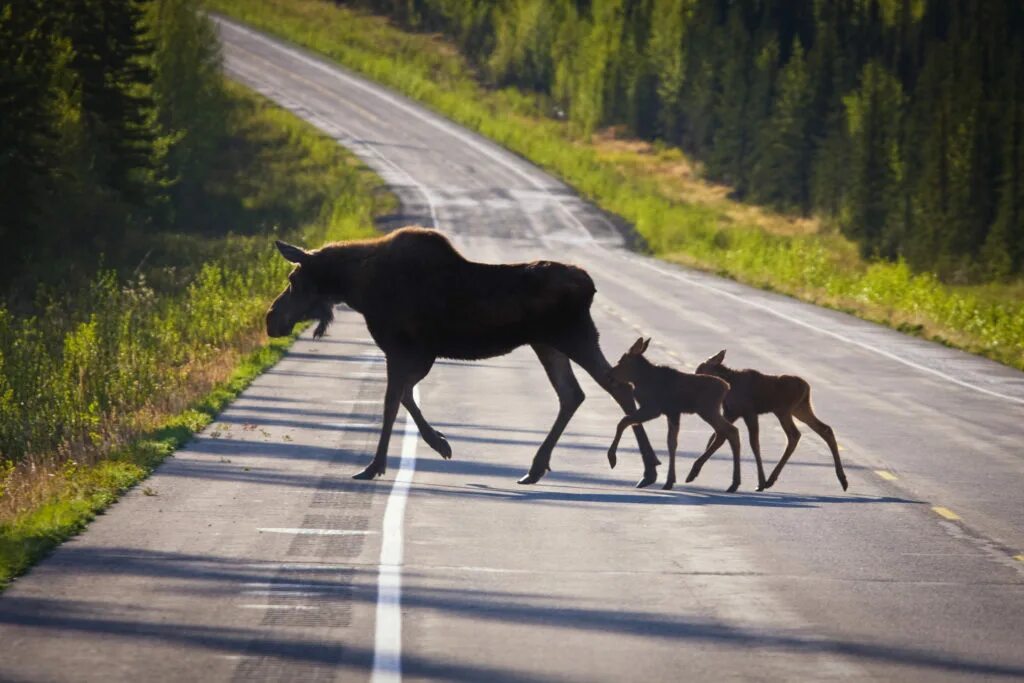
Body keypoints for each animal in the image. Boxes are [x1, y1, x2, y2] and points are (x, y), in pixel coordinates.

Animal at [266, 228, 663, 485]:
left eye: (294, 279)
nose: (271, 319)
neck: (357, 289)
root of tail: (591, 286)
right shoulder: (414, 353)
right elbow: (403, 397)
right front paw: (439, 443)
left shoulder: (407, 349)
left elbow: (393, 401)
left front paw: (377, 464)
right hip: (549, 344)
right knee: (574, 394)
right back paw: (538, 468)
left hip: (573, 337)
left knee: (615, 388)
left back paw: (648, 469)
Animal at [602, 337, 741, 491]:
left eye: (621, 361)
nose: (608, 375)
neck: (640, 379)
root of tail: (727, 386)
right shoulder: (672, 413)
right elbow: (671, 443)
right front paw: (669, 481)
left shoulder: (653, 408)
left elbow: (624, 421)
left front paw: (612, 458)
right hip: (710, 410)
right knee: (724, 433)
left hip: (707, 409)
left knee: (731, 431)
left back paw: (732, 482)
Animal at [692, 352, 851, 491]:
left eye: (700, 369)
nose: (694, 379)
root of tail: (807, 387)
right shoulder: (731, 412)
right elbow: (716, 436)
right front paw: (697, 469)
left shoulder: (749, 412)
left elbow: (753, 443)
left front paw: (759, 482)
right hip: (800, 409)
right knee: (824, 429)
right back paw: (842, 479)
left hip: (784, 411)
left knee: (794, 434)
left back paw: (769, 480)